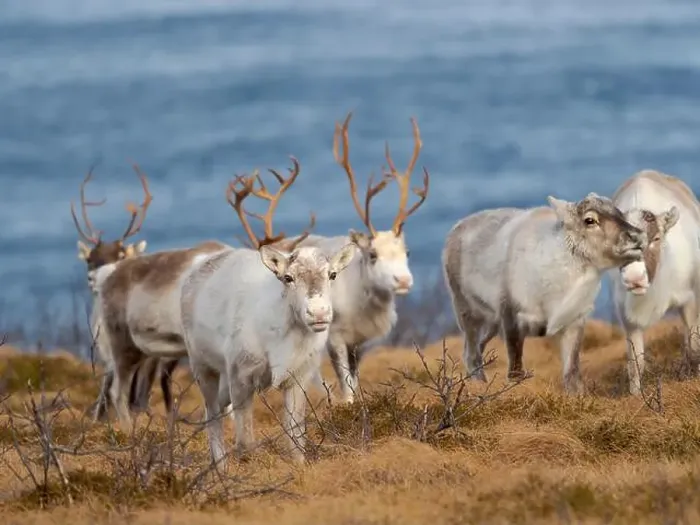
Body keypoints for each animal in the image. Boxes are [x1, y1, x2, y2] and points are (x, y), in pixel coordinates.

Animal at [179, 163, 356, 464]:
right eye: (288, 277)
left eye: (332, 274)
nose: (318, 312)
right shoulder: (240, 375)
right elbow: (245, 441)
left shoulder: (298, 378)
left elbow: (296, 439)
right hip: (202, 365)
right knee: (212, 415)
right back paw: (219, 467)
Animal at [280, 112, 429, 404]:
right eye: (372, 254)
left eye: (406, 252)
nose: (404, 280)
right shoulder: (335, 337)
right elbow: (345, 380)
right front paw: (347, 404)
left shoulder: (359, 342)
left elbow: (356, 378)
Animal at [442, 193, 647, 393]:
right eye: (590, 220)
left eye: (620, 213)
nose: (638, 236)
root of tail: (455, 229)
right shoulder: (512, 318)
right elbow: (515, 371)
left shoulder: (574, 321)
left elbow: (572, 373)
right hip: (467, 312)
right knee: (471, 354)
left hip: (491, 322)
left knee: (478, 348)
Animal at [610, 169, 700, 395]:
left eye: (656, 238)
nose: (635, 278)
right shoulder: (626, 315)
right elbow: (635, 362)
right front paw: (635, 395)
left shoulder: (690, 300)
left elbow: (693, 344)